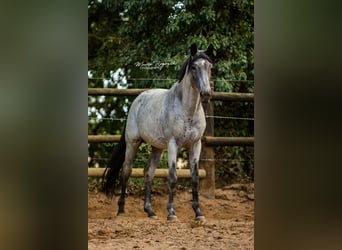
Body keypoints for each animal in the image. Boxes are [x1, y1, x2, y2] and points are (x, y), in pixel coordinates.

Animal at [102, 43, 214, 221]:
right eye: (194, 67)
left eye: (210, 67)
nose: (206, 94)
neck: (187, 110)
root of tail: (138, 99)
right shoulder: (173, 145)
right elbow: (172, 177)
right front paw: (171, 213)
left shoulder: (195, 145)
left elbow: (195, 178)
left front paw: (198, 213)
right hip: (133, 143)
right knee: (126, 171)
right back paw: (121, 210)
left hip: (157, 148)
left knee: (148, 172)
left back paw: (150, 211)